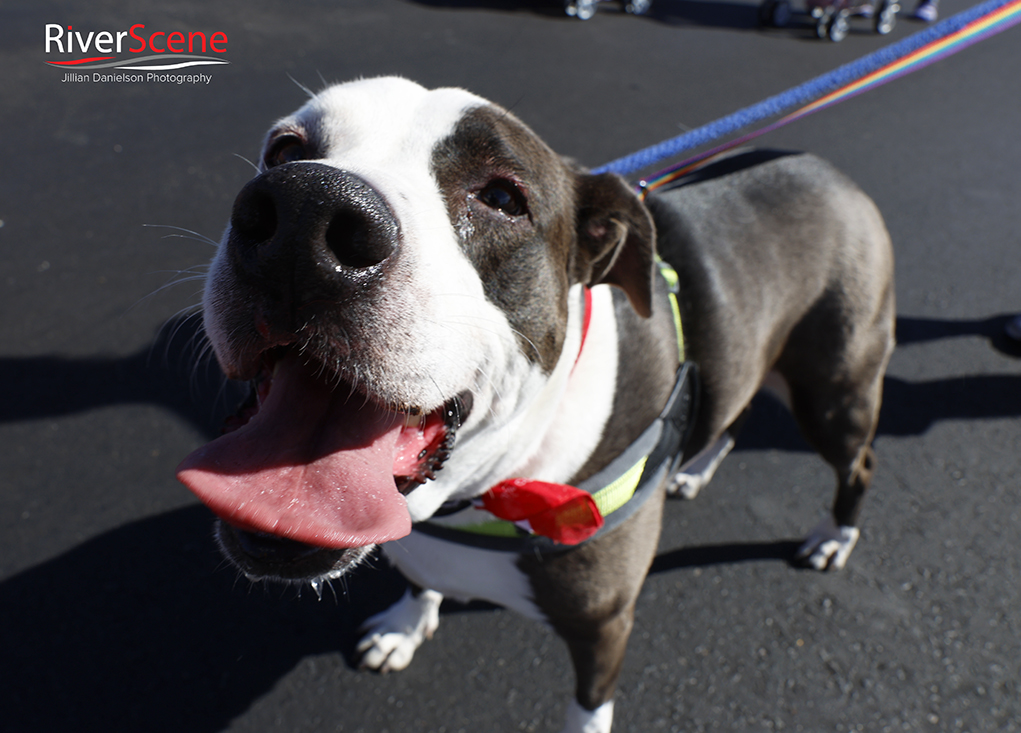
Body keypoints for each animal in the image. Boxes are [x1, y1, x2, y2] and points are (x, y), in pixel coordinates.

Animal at [175, 77, 894, 733]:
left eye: (501, 197)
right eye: (284, 149)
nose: (303, 210)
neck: (495, 481)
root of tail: (826, 169)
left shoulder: (604, 622)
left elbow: (587, 707)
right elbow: (420, 576)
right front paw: (407, 624)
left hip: (834, 388)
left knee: (856, 461)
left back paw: (834, 535)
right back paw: (692, 469)